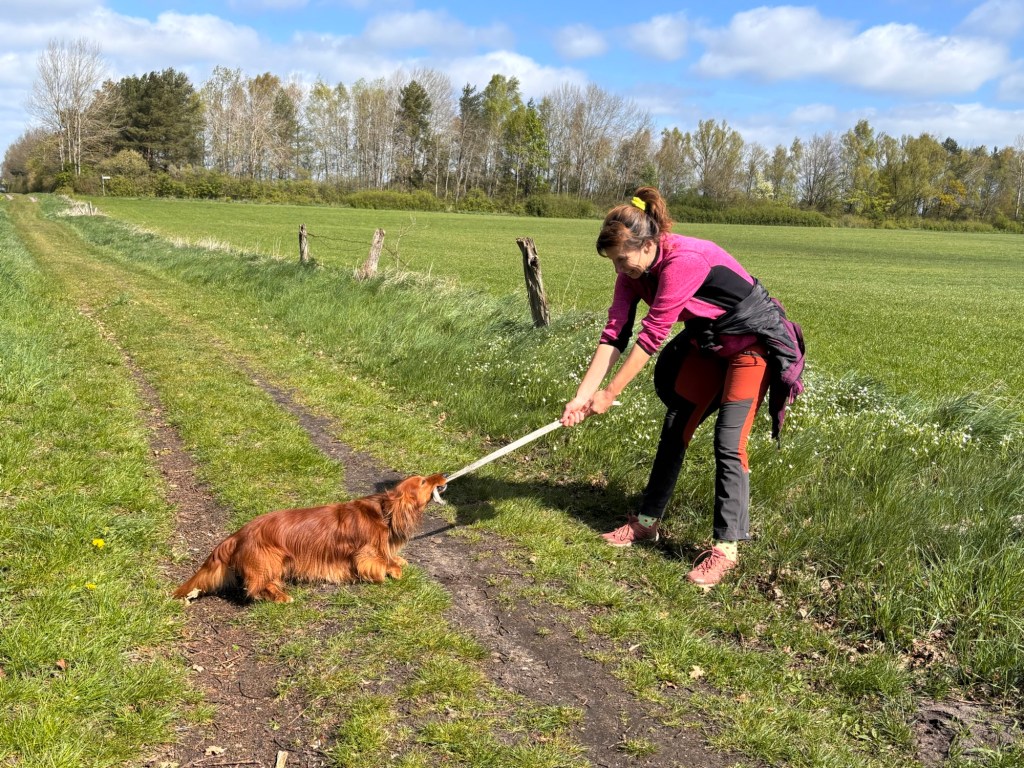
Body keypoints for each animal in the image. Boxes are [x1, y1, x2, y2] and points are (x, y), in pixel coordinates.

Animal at [173, 474, 448, 603]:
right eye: (424, 481)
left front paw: (397, 561)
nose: (444, 474)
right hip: (271, 560)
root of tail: (237, 535)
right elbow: (377, 562)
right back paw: (281, 596)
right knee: (256, 587)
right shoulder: (365, 553)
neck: (384, 511)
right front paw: (393, 569)